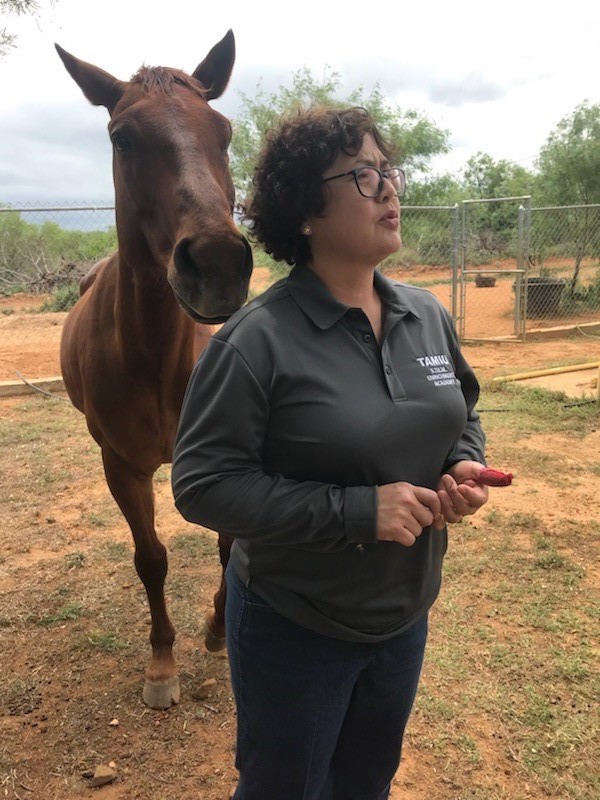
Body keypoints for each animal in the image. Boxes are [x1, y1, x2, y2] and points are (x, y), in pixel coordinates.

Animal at [57, 29, 252, 708]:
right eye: (122, 137)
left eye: (224, 130)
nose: (217, 262)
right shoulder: (121, 466)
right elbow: (152, 559)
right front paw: (162, 665)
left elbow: (228, 546)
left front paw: (218, 631)